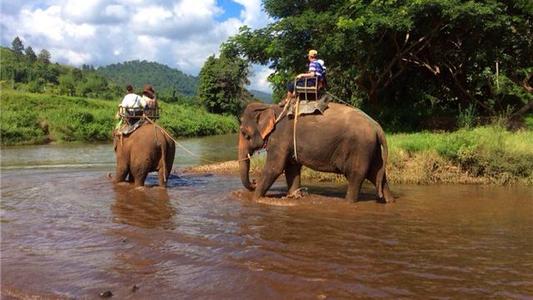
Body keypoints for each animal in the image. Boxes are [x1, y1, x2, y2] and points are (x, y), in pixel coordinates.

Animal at [239, 102, 392, 203]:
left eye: (245, 134)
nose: (254, 181)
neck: (270, 107)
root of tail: (377, 127)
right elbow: (291, 168)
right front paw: (294, 196)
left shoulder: (280, 138)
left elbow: (274, 168)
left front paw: (254, 199)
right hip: (372, 149)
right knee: (377, 175)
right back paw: (389, 201)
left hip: (360, 148)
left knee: (356, 176)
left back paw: (347, 202)